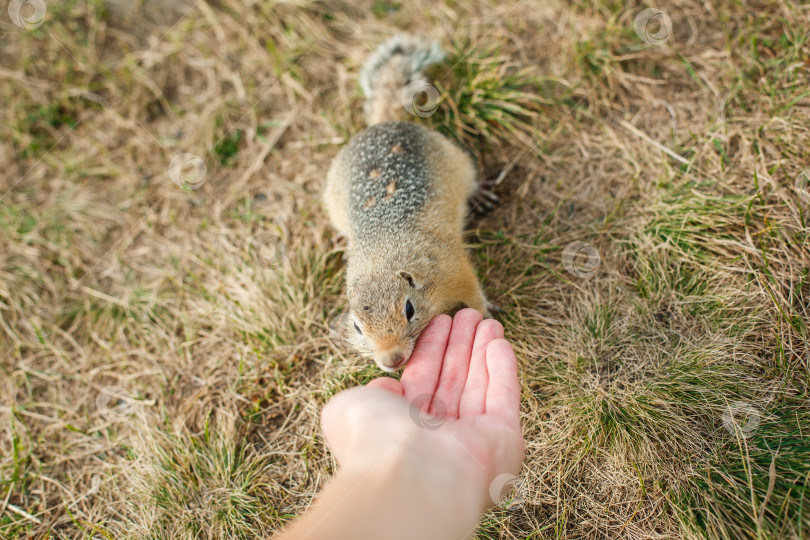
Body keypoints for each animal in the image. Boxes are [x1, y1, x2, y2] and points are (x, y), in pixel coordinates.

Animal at [326, 32, 496, 372]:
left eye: (409, 309)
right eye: (357, 327)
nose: (391, 360)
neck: (381, 260)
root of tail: (381, 124)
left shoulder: (454, 268)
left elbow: (473, 292)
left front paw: (484, 311)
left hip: (458, 161)